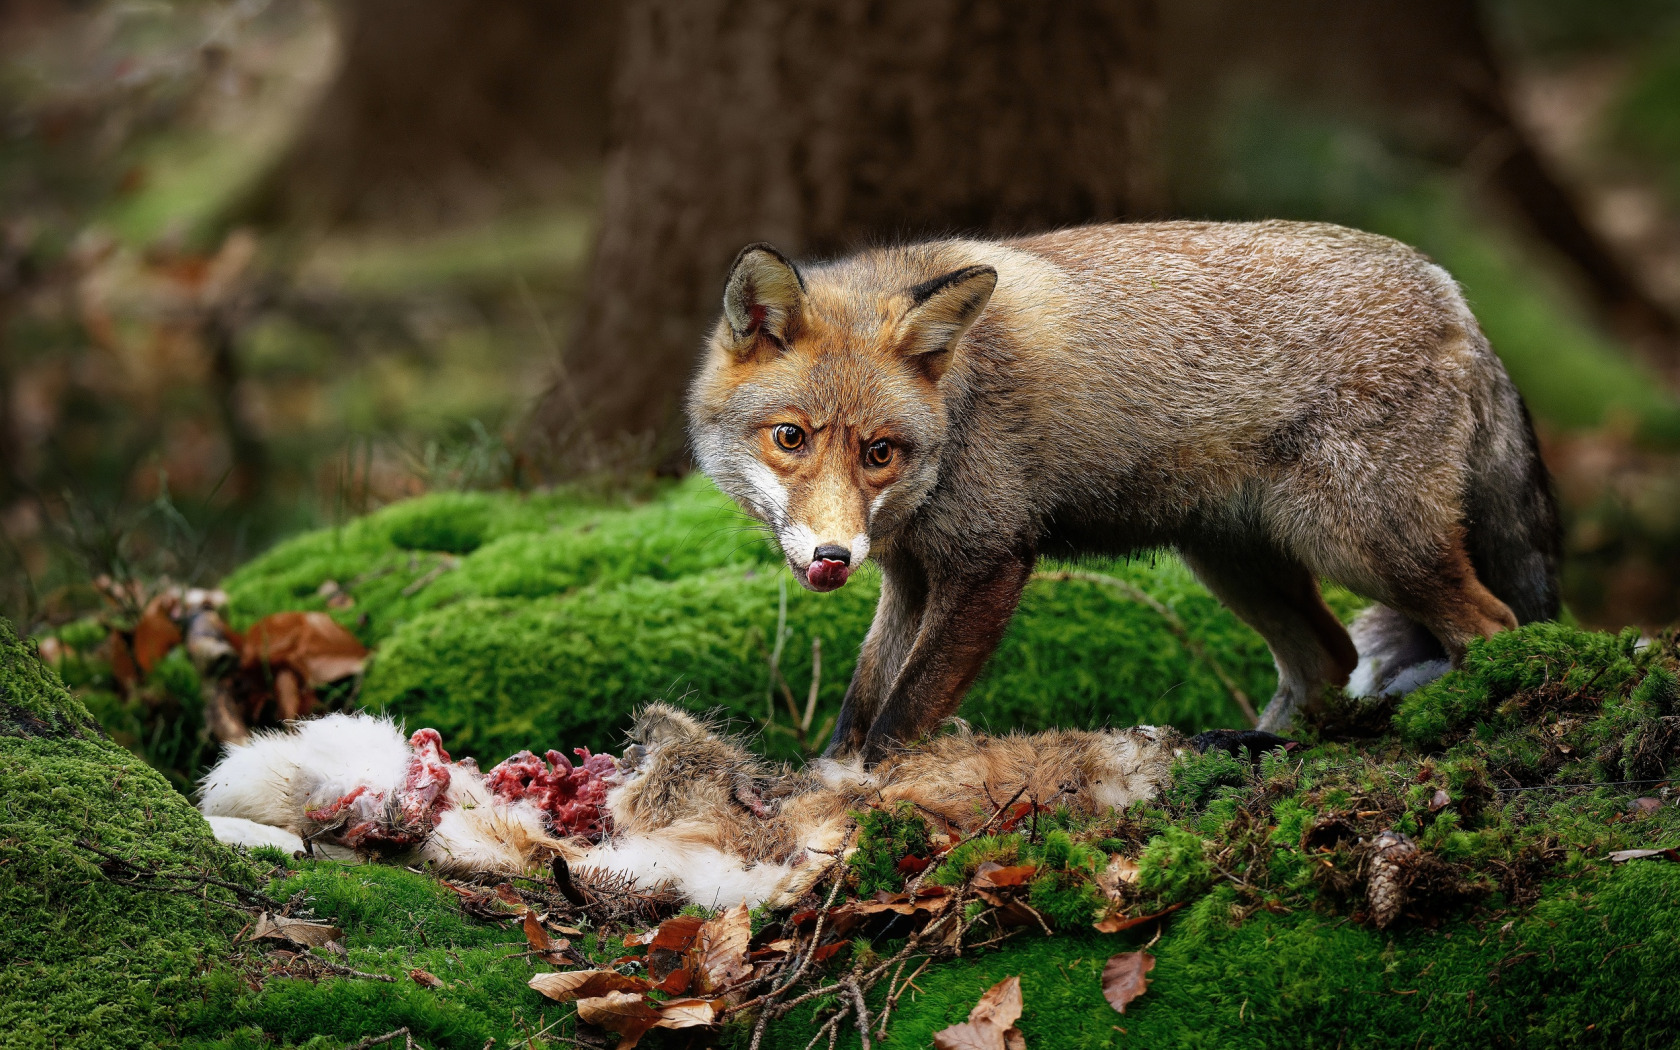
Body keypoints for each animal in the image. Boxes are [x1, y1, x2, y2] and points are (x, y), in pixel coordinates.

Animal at [685, 223, 1559, 762]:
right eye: (790, 438)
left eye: (878, 452)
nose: (833, 557)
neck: (958, 413)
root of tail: (1452, 292)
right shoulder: (910, 574)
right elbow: (859, 708)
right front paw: (830, 782)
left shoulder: (988, 562)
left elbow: (898, 719)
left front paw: (864, 803)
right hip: (1233, 560)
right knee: (1329, 660)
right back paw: (1260, 748)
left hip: (1362, 544)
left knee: (1494, 626)